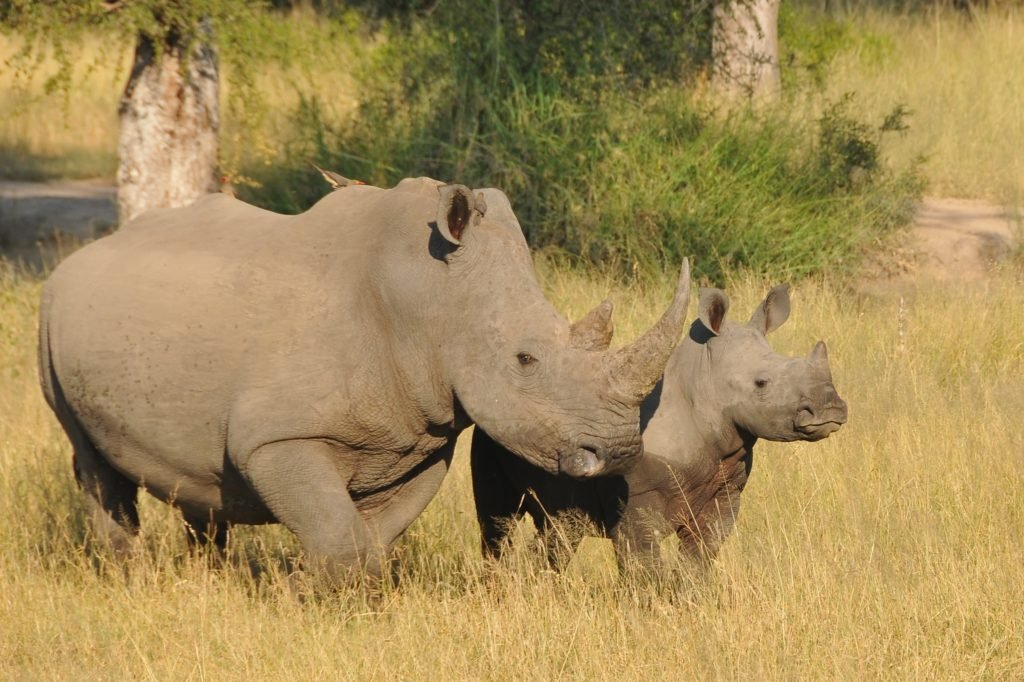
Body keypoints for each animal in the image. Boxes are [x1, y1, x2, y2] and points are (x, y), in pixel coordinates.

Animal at [38, 177, 692, 580]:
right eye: (525, 361)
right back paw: (128, 577)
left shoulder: (416, 438)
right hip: (50, 316)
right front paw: (305, 596)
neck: (427, 299)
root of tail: (83, 256)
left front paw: (340, 595)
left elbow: (371, 537)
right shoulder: (277, 438)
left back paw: (207, 575)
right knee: (94, 464)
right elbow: (337, 532)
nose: (619, 449)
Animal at [471, 284, 848, 566]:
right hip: (493, 431)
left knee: (560, 528)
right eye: (761, 383)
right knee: (498, 520)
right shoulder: (636, 499)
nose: (830, 409)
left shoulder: (725, 494)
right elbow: (643, 563)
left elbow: (699, 558)